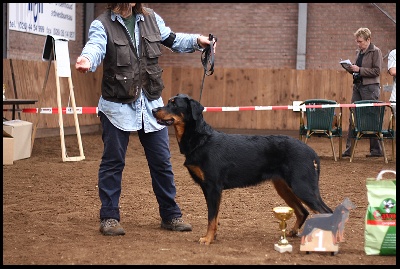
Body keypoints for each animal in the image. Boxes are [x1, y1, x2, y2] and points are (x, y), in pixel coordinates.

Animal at [152, 93, 332, 244]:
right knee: (303, 211)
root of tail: (311, 152)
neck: (201, 139)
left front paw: (208, 239)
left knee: (324, 211)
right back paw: (293, 232)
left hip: (302, 186)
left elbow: (211, 217)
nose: (153, 110)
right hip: (284, 187)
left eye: (174, 104)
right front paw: (213, 236)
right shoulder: (210, 189)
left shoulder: (213, 187)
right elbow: (215, 216)